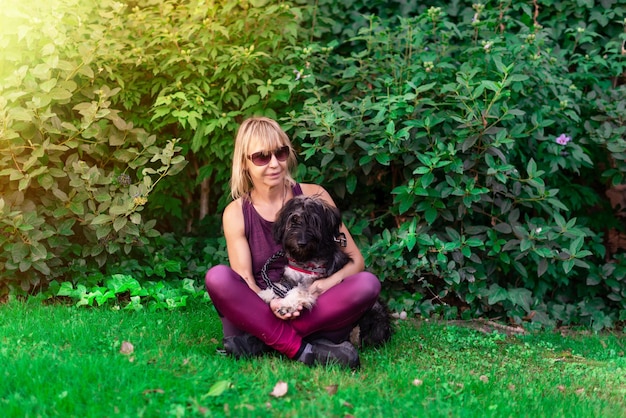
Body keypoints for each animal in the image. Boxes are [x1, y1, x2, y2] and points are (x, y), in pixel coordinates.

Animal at [258, 194, 390, 348]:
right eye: (294, 220)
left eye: (314, 222)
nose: (301, 243)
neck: (305, 258)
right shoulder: (290, 276)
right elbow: (280, 285)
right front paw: (267, 293)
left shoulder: (313, 283)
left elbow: (298, 292)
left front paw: (287, 305)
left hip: (374, 310)